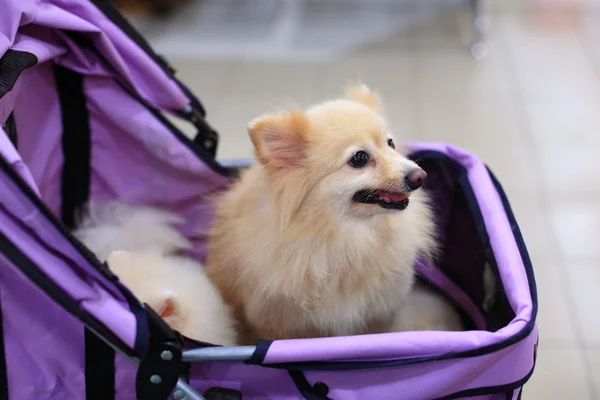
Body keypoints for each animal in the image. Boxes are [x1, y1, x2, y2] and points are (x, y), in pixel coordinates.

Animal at [207, 85, 440, 344]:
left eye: (390, 144)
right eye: (359, 158)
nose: (420, 175)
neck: (346, 236)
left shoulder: (378, 313)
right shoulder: (281, 325)